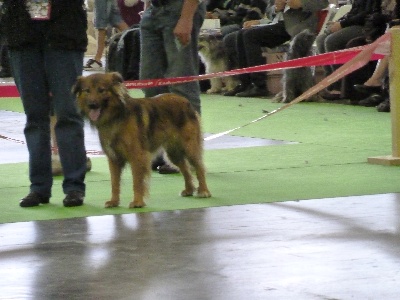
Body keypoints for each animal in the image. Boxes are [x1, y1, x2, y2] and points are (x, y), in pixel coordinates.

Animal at [73, 72, 211, 209]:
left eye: (101, 90)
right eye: (87, 91)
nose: (92, 105)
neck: (116, 116)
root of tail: (185, 101)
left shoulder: (137, 156)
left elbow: (137, 181)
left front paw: (137, 202)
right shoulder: (114, 158)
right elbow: (114, 182)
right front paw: (114, 201)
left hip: (189, 147)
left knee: (199, 167)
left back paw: (204, 191)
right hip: (174, 152)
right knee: (185, 168)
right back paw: (189, 190)